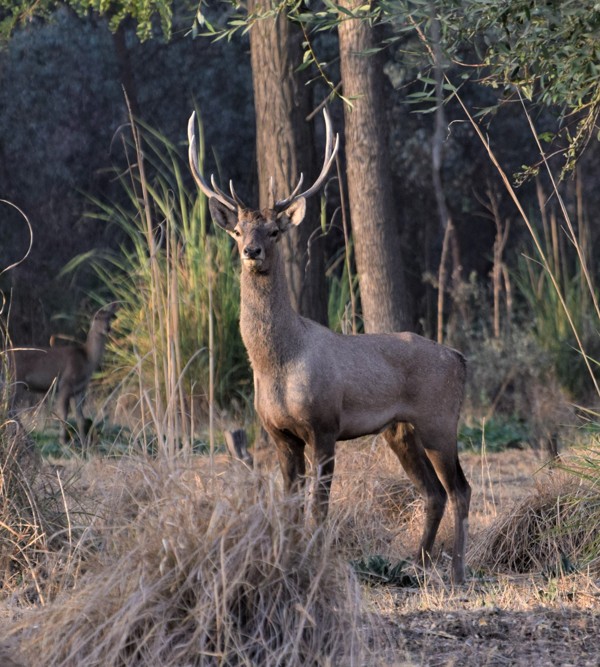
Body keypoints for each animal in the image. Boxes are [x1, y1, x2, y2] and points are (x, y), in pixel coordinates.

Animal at [8, 306, 116, 446]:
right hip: (16, 380)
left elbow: (80, 418)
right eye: (96, 317)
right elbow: (63, 415)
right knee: (10, 408)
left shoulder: (80, 390)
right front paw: (63, 442)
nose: (107, 328)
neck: (87, 360)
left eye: (109, 317)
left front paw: (84, 444)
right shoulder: (65, 384)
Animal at [190, 109, 472, 584]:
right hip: (400, 429)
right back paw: (416, 563)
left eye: (273, 230)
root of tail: (459, 358)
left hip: (439, 419)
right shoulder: (279, 434)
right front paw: (286, 559)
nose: (251, 251)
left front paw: (315, 559)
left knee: (459, 489)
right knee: (433, 491)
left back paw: (455, 572)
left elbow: (319, 508)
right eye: (238, 230)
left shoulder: (324, 424)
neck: (278, 365)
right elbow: (290, 505)